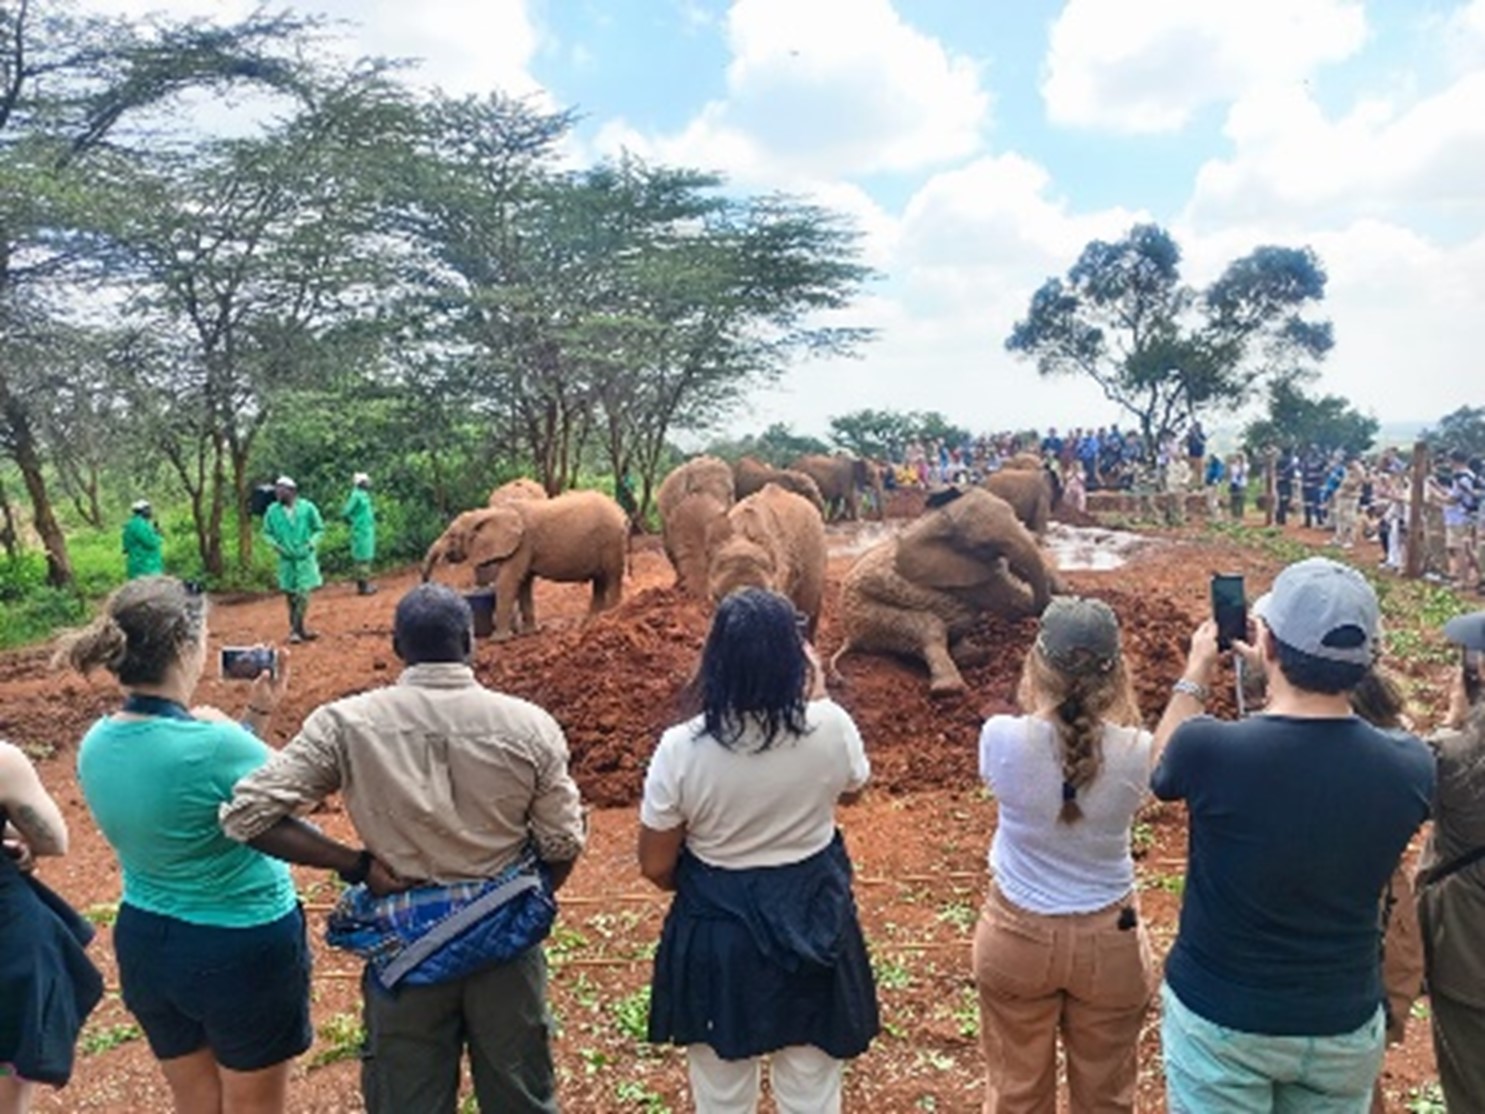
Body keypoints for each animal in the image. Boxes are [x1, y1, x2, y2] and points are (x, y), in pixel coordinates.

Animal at [424, 493, 626, 641]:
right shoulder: (521, 547)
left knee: (612, 578)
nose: (427, 583)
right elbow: (524, 583)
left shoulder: (522, 544)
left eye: (452, 535)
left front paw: (498, 640)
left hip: (612, 541)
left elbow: (508, 582)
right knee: (600, 581)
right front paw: (529, 633)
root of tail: (621, 512)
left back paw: (610, 618)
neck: (488, 513)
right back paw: (590, 623)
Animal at [831, 490, 1063, 698]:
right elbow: (1016, 602)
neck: (941, 519)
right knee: (929, 627)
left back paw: (973, 655)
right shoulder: (971, 578)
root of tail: (850, 636)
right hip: (868, 615)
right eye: (982, 544)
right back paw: (950, 689)